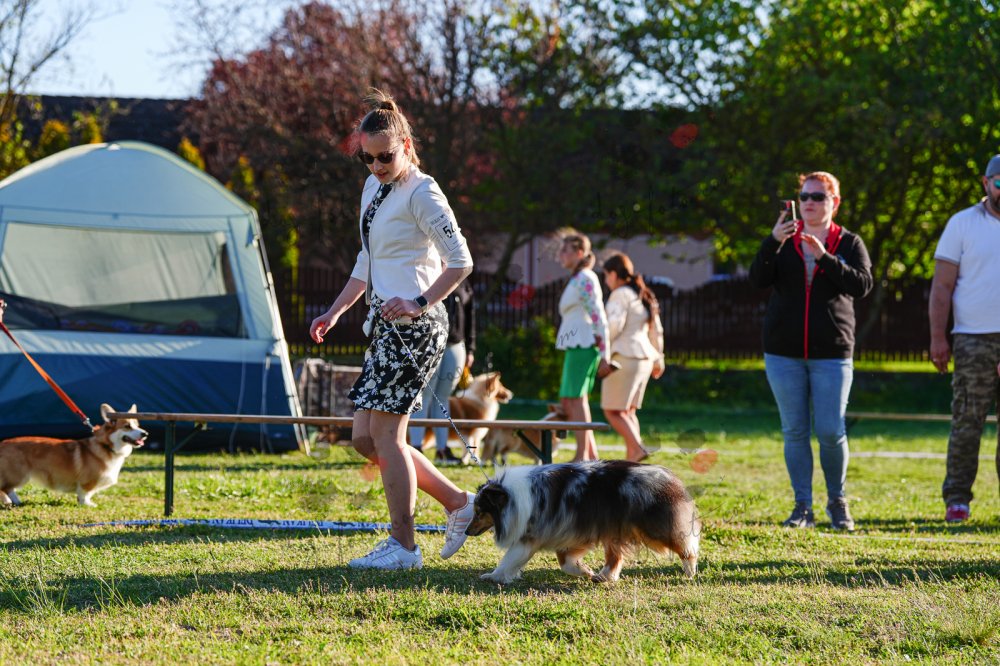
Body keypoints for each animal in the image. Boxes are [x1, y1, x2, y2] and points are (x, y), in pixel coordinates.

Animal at [0, 404, 147, 507]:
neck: (106, 446)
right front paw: (87, 504)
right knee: (6, 488)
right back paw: (16, 501)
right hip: (19, 475)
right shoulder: (87, 482)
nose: (145, 434)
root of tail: (2, 444)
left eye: (138, 425)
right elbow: (85, 493)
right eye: (127, 426)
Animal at [465, 460, 700, 584]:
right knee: (615, 558)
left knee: (686, 545)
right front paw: (585, 571)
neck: (511, 497)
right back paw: (603, 576)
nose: (466, 531)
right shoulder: (567, 533)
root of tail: (669, 477)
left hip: (654, 529)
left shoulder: (532, 537)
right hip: (613, 529)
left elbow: (508, 559)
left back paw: (690, 571)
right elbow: (565, 562)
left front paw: (493, 576)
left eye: (479, 512)